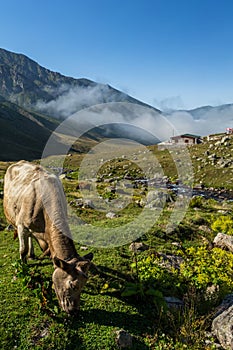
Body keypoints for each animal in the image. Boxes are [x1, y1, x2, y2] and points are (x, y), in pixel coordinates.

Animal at [3, 161, 93, 314]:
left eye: (84, 285)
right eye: (72, 285)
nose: (73, 311)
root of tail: (19, 162)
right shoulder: (21, 226)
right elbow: (22, 250)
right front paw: (22, 269)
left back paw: (32, 253)